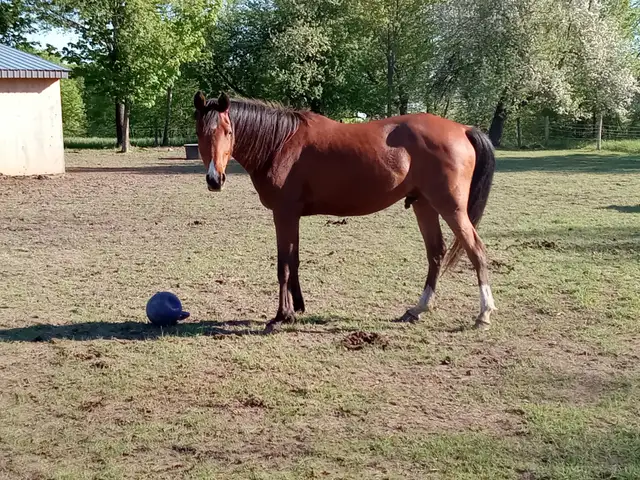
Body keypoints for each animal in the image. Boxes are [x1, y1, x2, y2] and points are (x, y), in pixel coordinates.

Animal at [193, 91, 497, 334]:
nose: (214, 179)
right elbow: (294, 260)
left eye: (228, 131)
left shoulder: (284, 214)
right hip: (424, 204)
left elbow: (283, 265)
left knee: (476, 250)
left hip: (451, 207)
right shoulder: (293, 216)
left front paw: (281, 315)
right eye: (200, 133)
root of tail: (463, 129)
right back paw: (417, 309)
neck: (281, 143)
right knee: (436, 253)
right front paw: (297, 308)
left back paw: (483, 314)